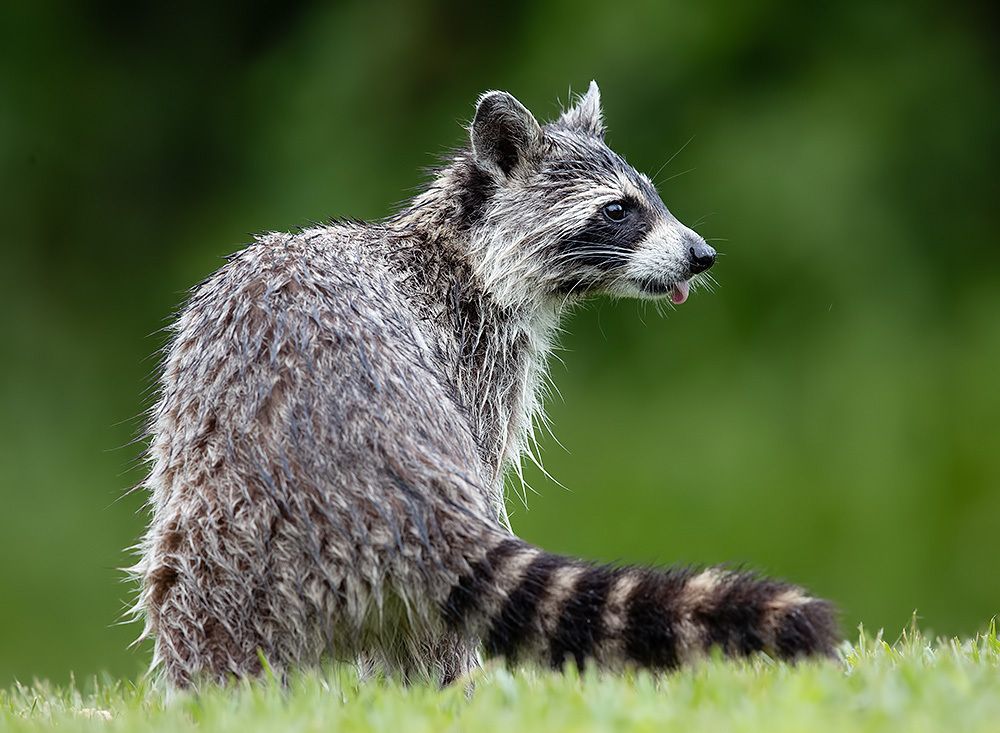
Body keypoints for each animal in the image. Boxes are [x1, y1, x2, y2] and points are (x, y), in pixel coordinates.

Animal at [130, 82, 838, 687]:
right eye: (618, 210)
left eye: (651, 198)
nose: (701, 255)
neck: (460, 250)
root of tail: (372, 472)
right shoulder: (469, 352)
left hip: (223, 519)